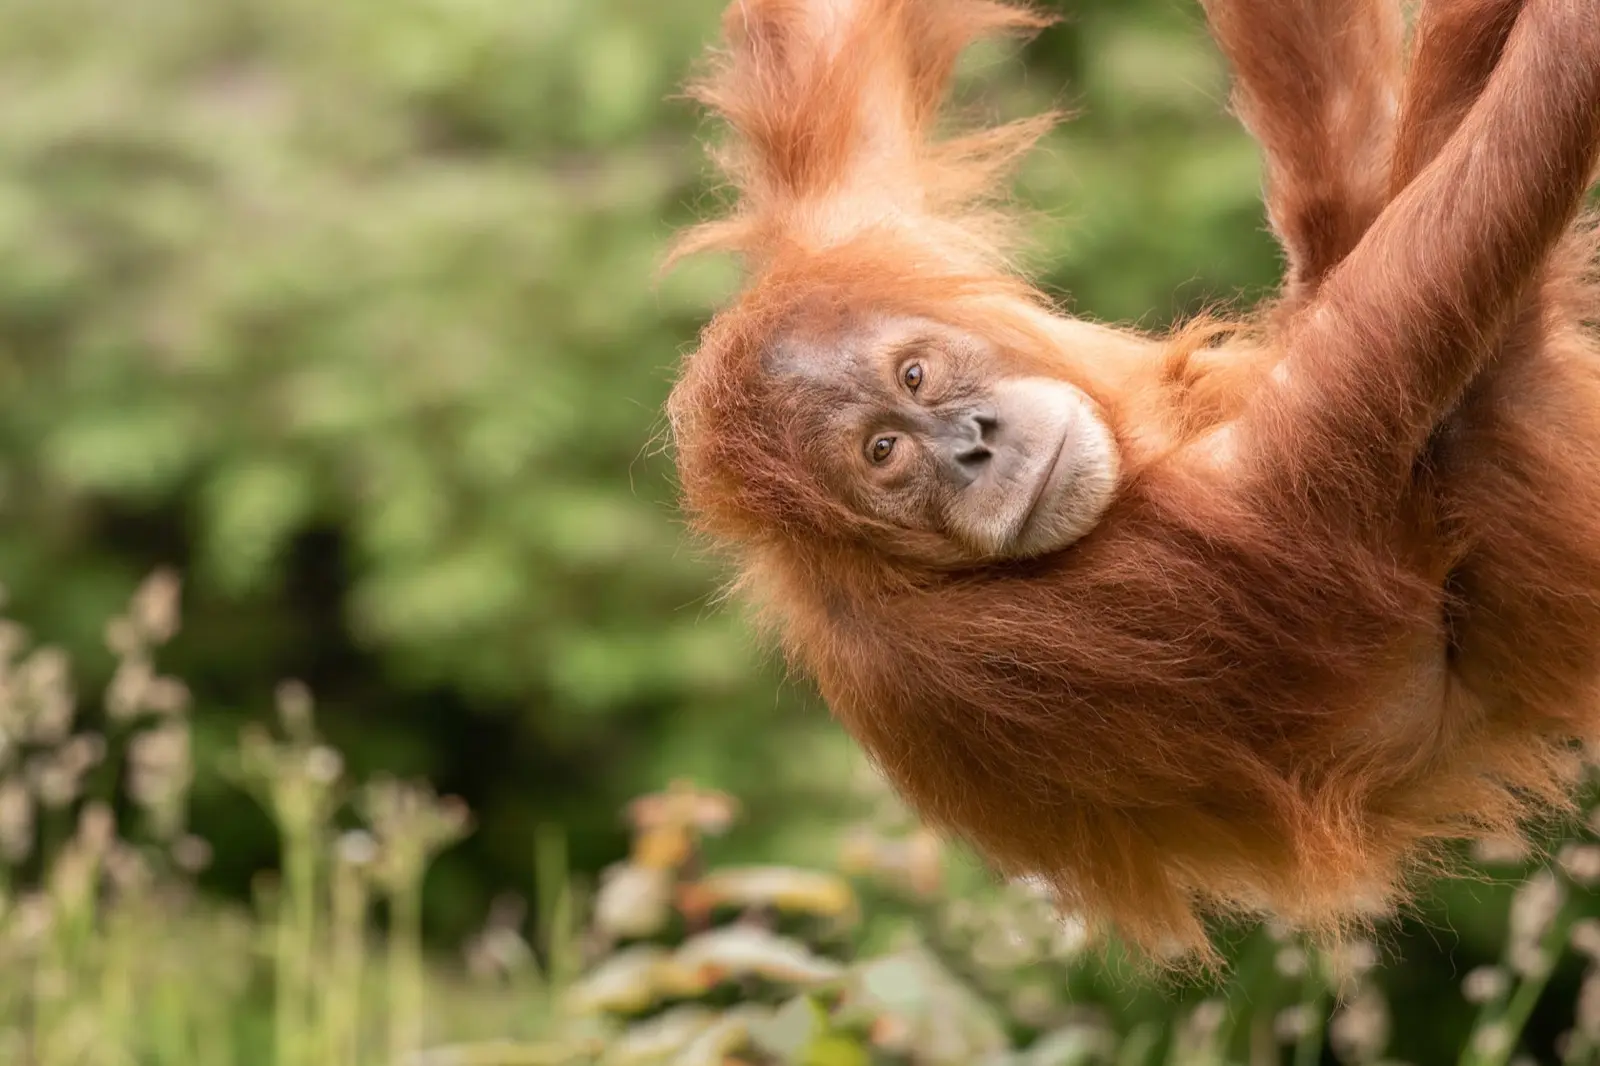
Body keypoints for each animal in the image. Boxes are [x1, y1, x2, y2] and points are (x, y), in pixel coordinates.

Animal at [664, 0, 1600, 962]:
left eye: (915, 375)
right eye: (883, 453)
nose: (973, 445)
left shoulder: (850, 234)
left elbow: (827, 39)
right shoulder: (958, 659)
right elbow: (1325, 435)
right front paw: (1572, 36)